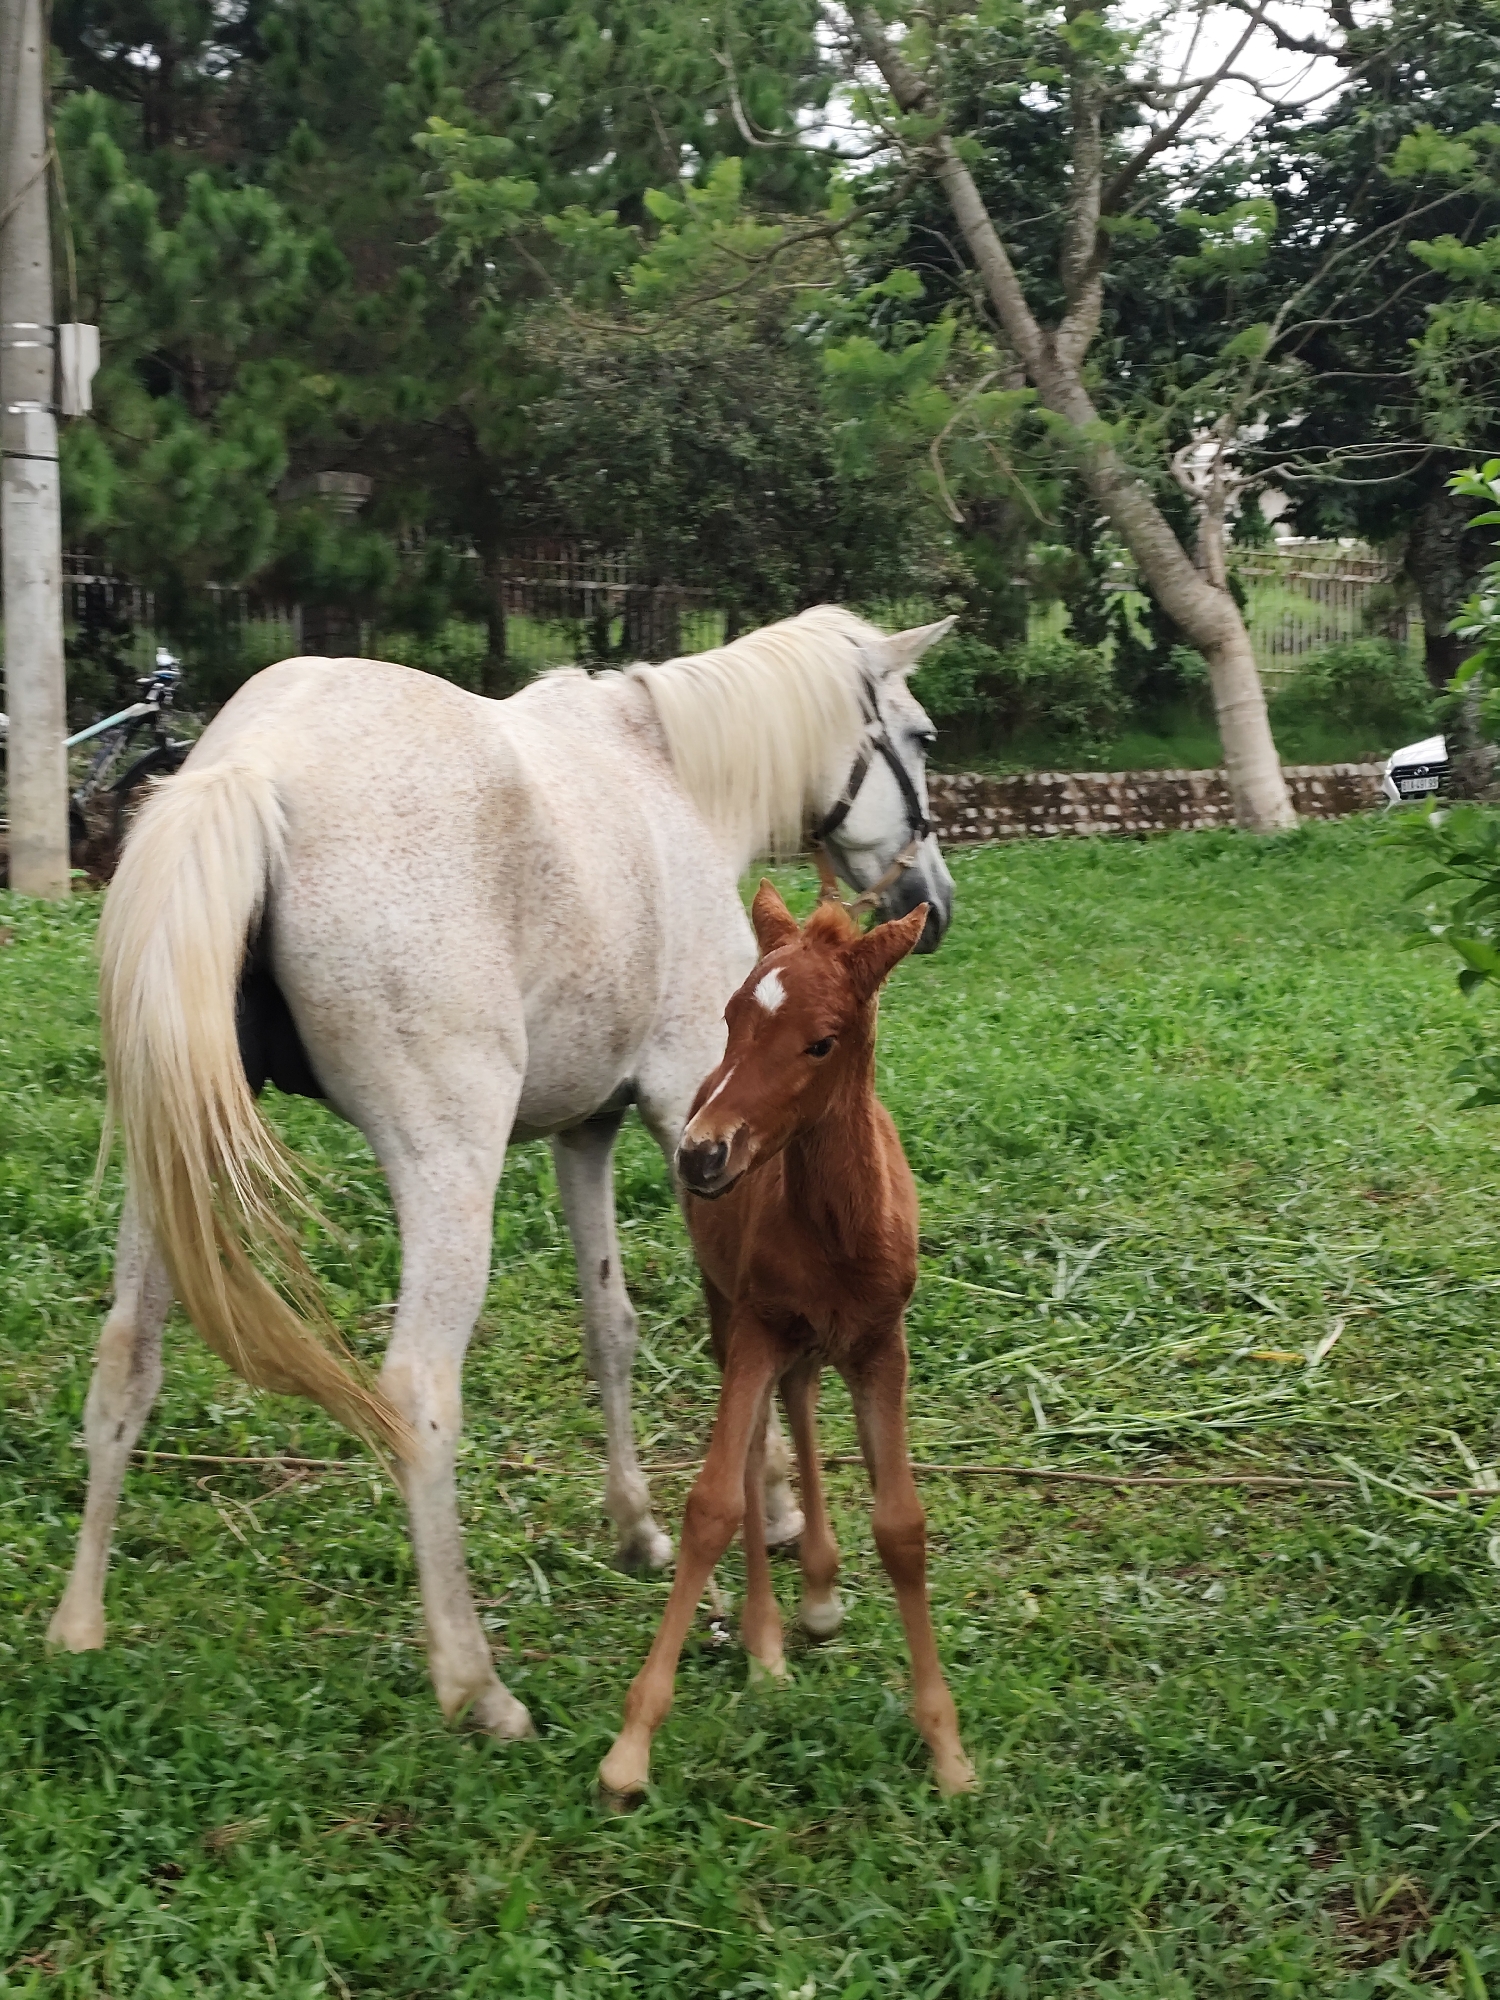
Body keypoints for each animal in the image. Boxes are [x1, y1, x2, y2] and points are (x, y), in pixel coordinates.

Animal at [48, 605, 957, 1742]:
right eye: (920, 735)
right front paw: (785, 1514)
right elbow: (737, 1340)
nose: (934, 901)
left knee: (128, 1354)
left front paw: (637, 1527)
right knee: (416, 1393)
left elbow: (610, 1326)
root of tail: (253, 764)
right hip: (447, 1171)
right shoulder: (688, 1118)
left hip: (170, 1163)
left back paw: (79, 1624)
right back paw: (476, 1682)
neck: (663, 769)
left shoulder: (589, 1134)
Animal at [599, 882, 977, 1802]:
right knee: (760, 1429)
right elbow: (710, 1505)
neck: (837, 1229)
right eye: (733, 1018)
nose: (703, 1154)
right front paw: (631, 1745)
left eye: (821, 1042)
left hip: (807, 1335)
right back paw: (769, 1639)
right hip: (730, 1307)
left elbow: (903, 1526)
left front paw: (949, 1752)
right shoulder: (758, 1325)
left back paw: (818, 1595)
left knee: (801, 1396)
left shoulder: (881, 1343)